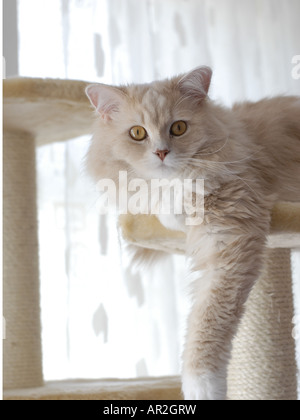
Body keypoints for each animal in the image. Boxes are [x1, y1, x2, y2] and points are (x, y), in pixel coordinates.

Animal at [85, 66, 300, 400]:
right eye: (138, 133)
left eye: (179, 128)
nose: (161, 152)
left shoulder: (228, 241)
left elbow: (207, 321)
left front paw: (202, 387)